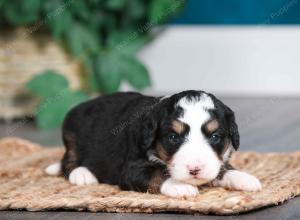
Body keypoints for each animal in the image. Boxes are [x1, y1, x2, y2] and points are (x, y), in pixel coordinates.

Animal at [45, 90, 262, 197]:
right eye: (173, 138)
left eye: (215, 136)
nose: (194, 169)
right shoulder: (131, 169)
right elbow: (156, 174)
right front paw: (179, 186)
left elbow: (222, 168)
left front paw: (243, 178)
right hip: (72, 134)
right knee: (68, 161)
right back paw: (82, 174)